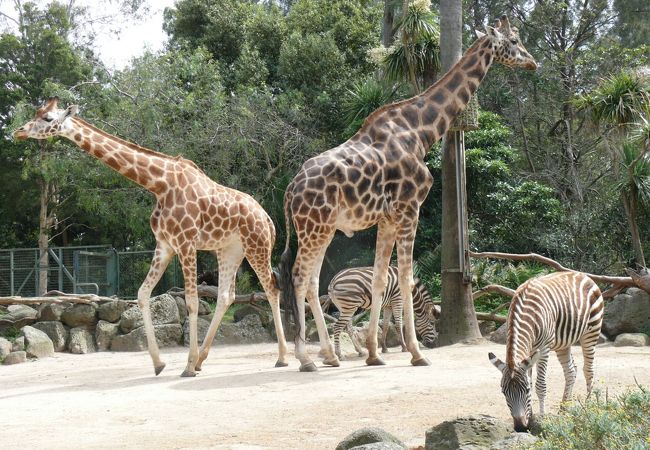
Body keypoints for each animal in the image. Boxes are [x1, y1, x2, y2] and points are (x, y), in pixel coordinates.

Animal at [13, 97, 288, 376]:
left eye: (47, 118)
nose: (19, 131)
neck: (159, 184)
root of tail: (268, 220)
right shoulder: (165, 245)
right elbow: (143, 294)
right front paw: (159, 363)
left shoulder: (186, 243)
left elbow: (192, 302)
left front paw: (187, 366)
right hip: (230, 250)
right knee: (225, 296)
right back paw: (202, 359)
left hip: (257, 247)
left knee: (271, 289)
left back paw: (282, 357)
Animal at [278, 15, 536, 370]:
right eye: (513, 41)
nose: (533, 62)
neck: (420, 131)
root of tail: (291, 189)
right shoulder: (410, 208)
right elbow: (406, 279)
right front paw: (415, 353)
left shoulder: (387, 218)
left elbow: (380, 279)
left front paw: (374, 353)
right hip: (314, 228)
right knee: (300, 278)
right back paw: (306, 359)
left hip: (321, 230)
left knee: (313, 281)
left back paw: (329, 356)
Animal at [486, 270, 604, 432]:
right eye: (504, 392)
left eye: (527, 390)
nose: (520, 428)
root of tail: (582, 274)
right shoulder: (529, 351)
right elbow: (530, 378)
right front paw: (530, 417)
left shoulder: (544, 347)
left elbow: (540, 385)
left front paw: (542, 418)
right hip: (563, 343)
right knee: (571, 370)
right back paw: (564, 409)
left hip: (591, 332)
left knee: (588, 370)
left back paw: (590, 407)